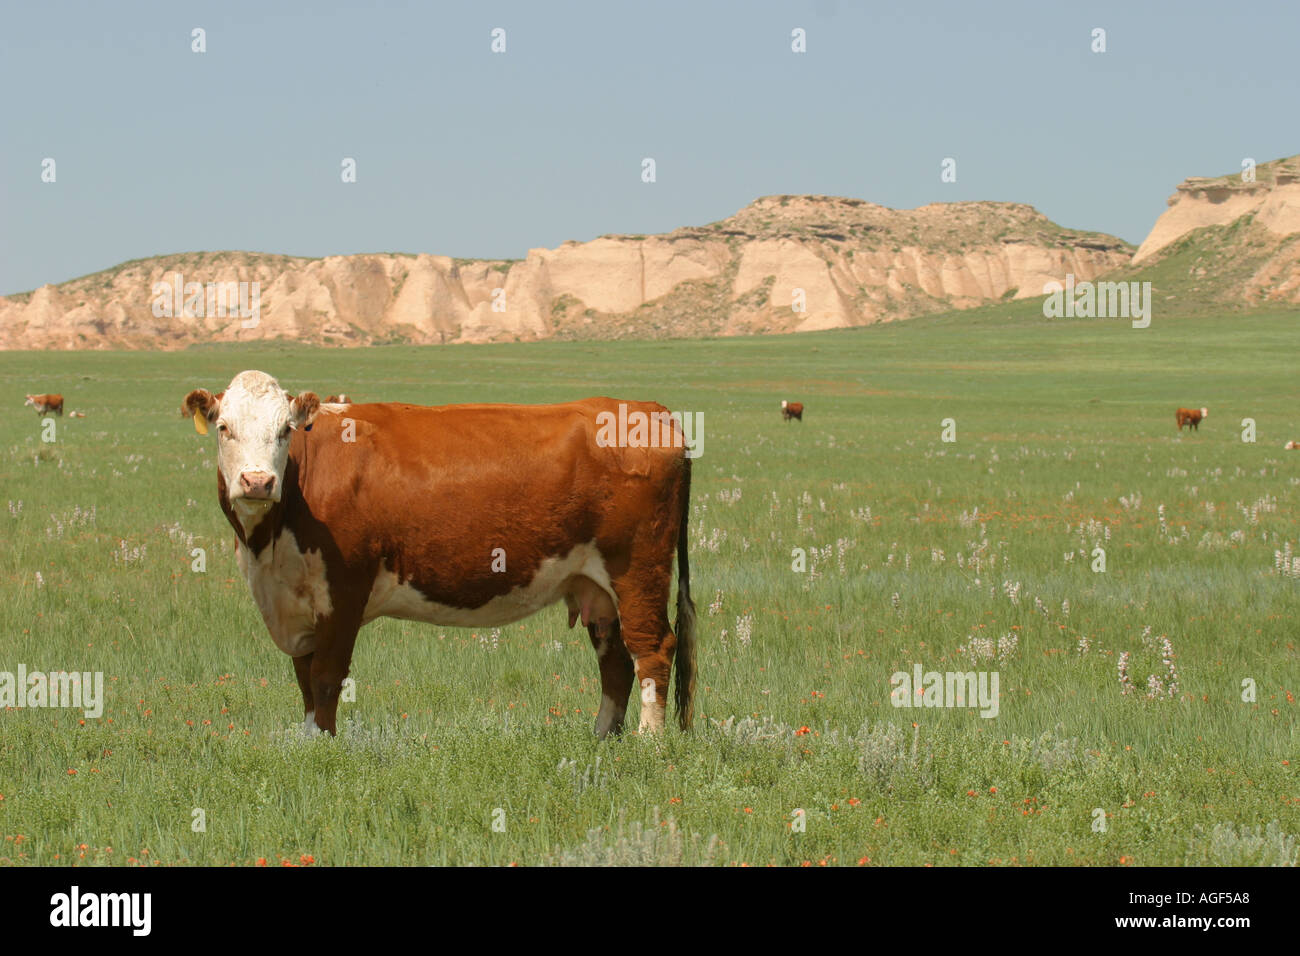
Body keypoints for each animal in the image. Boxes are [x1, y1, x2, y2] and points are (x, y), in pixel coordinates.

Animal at [182, 370, 696, 739]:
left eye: (285, 431)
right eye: (224, 428)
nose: (257, 481)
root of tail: (647, 410)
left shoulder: (344, 590)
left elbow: (326, 677)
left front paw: (322, 748)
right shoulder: (294, 602)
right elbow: (304, 679)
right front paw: (307, 740)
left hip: (637, 569)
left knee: (652, 649)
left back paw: (648, 743)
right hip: (596, 586)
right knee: (615, 660)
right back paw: (601, 738)